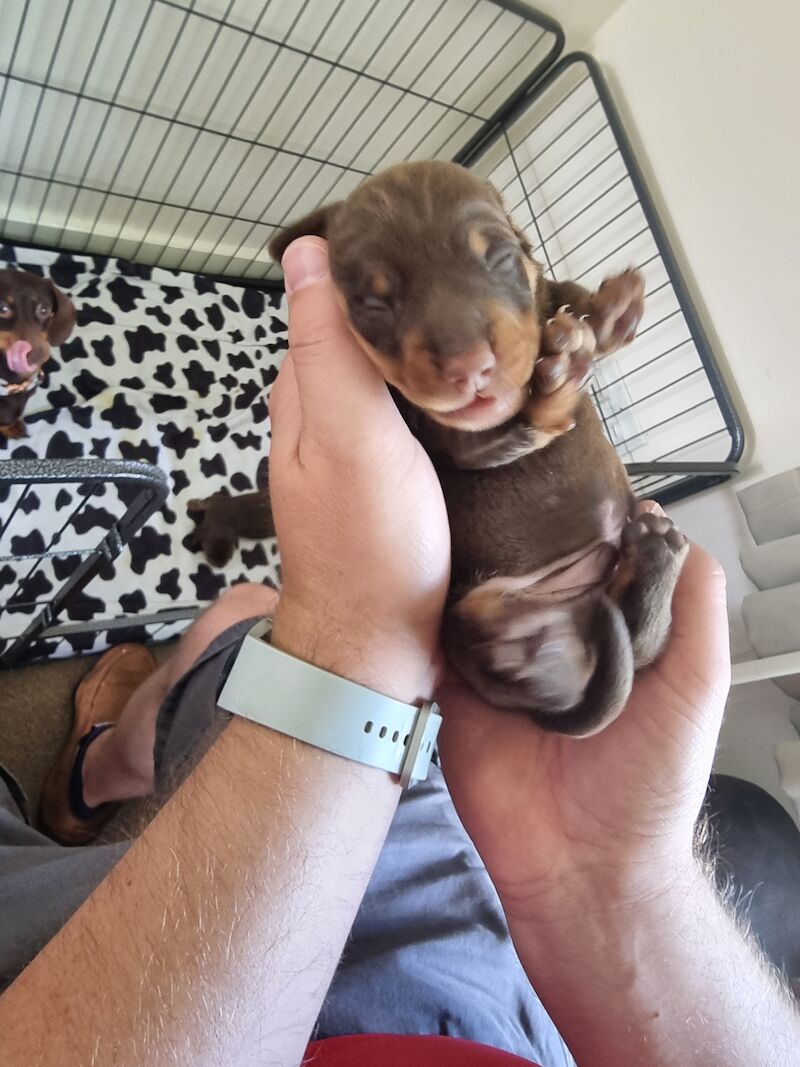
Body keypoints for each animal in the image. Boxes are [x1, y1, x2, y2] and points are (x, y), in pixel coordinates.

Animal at [269, 162, 691, 738]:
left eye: (500, 259)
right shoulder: (447, 437)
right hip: (476, 623)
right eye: (373, 303)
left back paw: (656, 554)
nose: (467, 365)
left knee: (640, 642)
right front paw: (556, 386)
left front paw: (609, 311)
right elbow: (507, 431)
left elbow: (565, 298)